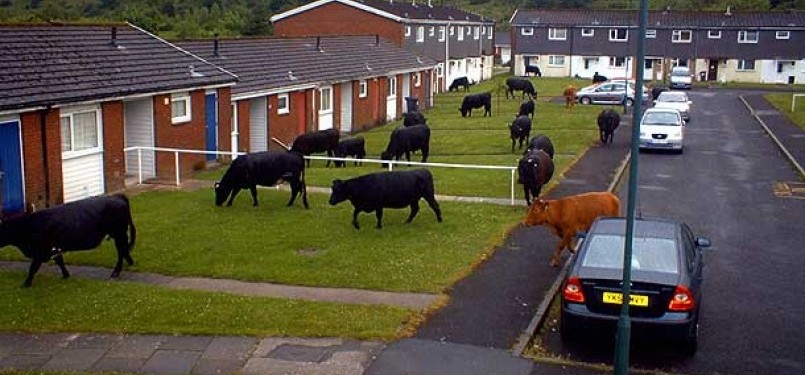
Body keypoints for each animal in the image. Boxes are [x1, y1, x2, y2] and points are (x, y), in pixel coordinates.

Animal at [0, 194, 136, 288]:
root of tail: (116, 196)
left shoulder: (40, 251)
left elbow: (32, 268)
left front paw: (26, 284)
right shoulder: (53, 248)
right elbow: (60, 261)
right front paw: (66, 275)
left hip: (119, 233)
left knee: (121, 251)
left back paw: (116, 272)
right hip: (119, 234)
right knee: (124, 249)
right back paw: (130, 263)